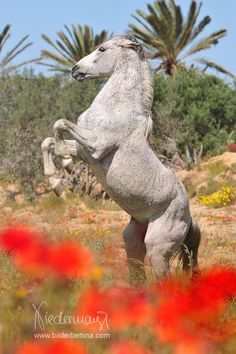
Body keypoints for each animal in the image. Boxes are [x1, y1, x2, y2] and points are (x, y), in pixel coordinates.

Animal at [41, 36, 200, 284]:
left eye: (102, 48)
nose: (75, 70)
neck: (117, 107)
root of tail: (188, 216)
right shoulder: (84, 150)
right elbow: (48, 141)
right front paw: (56, 182)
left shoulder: (96, 146)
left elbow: (60, 124)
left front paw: (64, 162)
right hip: (133, 240)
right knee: (137, 271)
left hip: (157, 248)